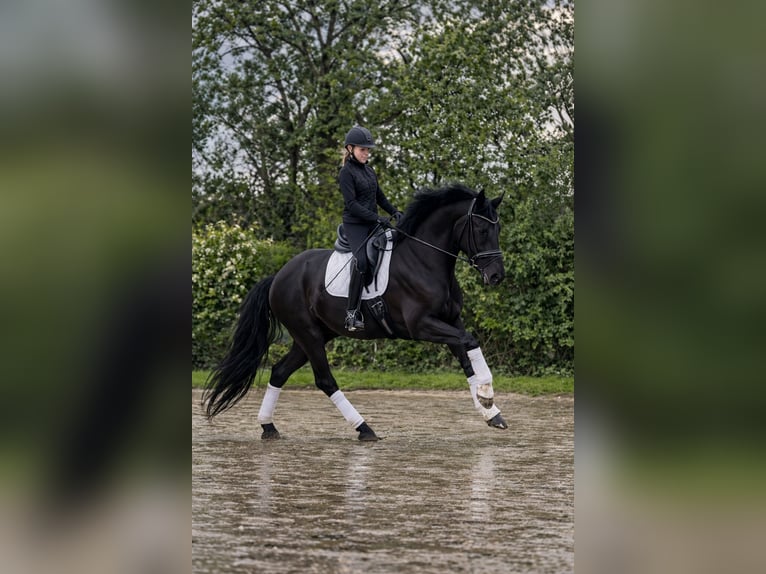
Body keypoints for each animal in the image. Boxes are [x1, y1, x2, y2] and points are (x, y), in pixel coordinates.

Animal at [203, 184, 508, 440]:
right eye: (482, 231)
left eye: (498, 230)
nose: (496, 276)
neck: (423, 260)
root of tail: (278, 276)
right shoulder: (422, 325)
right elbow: (469, 341)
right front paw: (487, 395)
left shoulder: (450, 320)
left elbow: (467, 358)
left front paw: (490, 412)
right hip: (309, 335)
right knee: (325, 380)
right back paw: (364, 428)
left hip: (311, 336)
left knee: (279, 372)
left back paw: (268, 427)